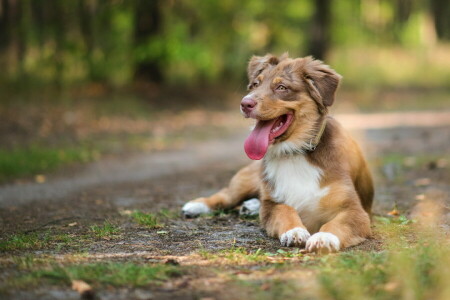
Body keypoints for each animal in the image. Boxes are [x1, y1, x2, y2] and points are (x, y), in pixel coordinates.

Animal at [181, 53, 374, 253]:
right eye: (255, 84)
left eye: (282, 87)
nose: (245, 103)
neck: (294, 152)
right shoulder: (272, 204)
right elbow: (285, 210)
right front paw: (294, 231)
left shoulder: (354, 209)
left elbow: (336, 224)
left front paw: (324, 238)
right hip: (248, 179)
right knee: (227, 195)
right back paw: (197, 205)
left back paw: (249, 207)